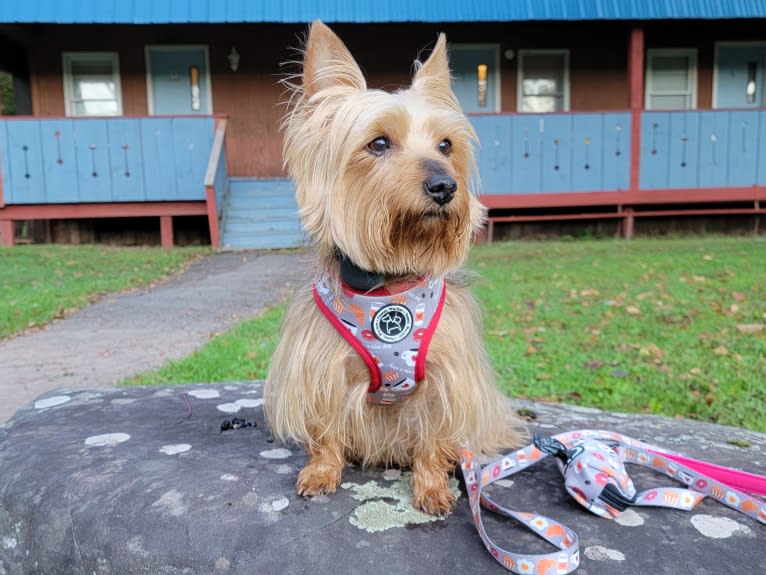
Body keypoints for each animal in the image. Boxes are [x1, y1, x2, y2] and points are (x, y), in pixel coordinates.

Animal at [268, 21, 524, 516]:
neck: (388, 280)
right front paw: (322, 471)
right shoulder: (322, 368)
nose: (445, 185)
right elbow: (325, 432)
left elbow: (433, 436)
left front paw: (432, 487)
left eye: (446, 145)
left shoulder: (446, 377)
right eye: (379, 143)